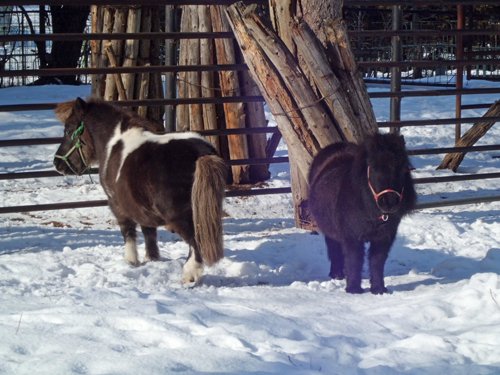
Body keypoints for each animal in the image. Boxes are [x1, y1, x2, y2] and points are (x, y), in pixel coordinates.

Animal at [53, 97, 228, 284]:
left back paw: (189, 274)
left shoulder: (117, 205)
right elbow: (149, 232)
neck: (114, 144)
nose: (57, 163)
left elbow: (128, 231)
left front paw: (131, 261)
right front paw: (152, 259)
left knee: (195, 241)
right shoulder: (141, 207)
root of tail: (201, 154)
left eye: (68, 130)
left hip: (182, 216)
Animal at [306, 134, 416, 296]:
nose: (389, 202)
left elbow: (377, 261)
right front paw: (353, 289)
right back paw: (337, 274)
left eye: (402, 168)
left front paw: (378, 289)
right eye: (374, 167)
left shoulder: (384, 238)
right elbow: (354, 260)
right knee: (334, 248)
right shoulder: (352, 237)